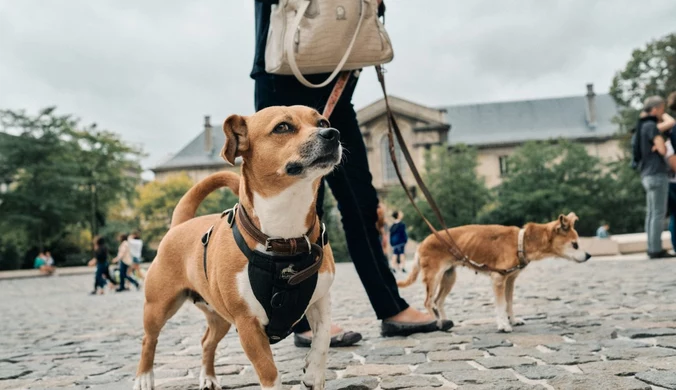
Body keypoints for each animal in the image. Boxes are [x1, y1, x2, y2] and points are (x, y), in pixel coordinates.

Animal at [134, 106, 340, 390]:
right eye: (283, 127)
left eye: (322, 122)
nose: (332, 133)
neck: (285, 238)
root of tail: (180, 224)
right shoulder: (247, 325)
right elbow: (270, 373)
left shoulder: (321, 299)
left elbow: (323, 340)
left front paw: (313, 374)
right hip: (158, 307)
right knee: (148, 340)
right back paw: (144, 377)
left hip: (219, 317)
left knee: (206, 342)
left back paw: (209, 378)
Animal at [398, 213, 588, 332]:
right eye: (575, 244)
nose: (588, 255)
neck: (521, 241)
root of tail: (421, 244)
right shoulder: (498, 279)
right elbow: (501, 305)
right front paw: (503, 325)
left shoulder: (510, 280)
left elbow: (509, 303)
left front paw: (513, 320)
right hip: (434, 277)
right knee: (428, 303)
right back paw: (435, 323)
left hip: (449, 277)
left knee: (438, 301)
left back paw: (445, 322)